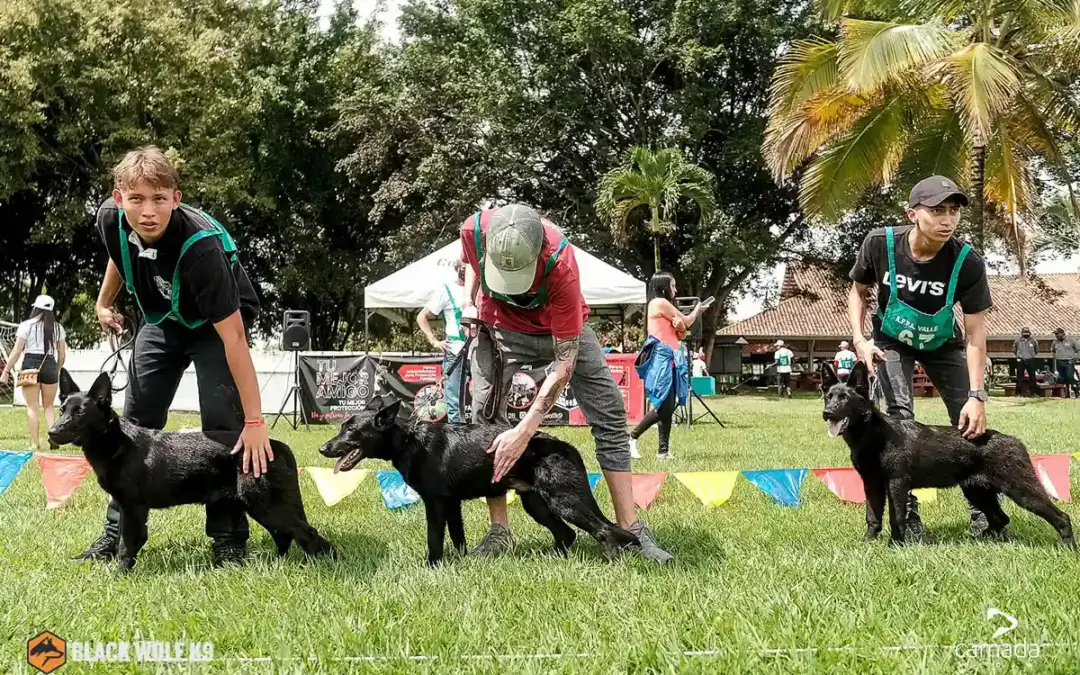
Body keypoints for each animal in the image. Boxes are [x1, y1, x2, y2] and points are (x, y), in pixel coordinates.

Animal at [49, 371, 332, 570]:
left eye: (80, 412)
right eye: (62, 410)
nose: (51, 432)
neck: (117, 442)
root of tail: (275, 445)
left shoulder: (132, 507)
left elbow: (126, 546)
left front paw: (120, 575)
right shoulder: (130, 508)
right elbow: (127, 541)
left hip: (266, 504)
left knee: (307, 534)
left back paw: (323, 564)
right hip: (261, 506)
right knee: (285, 536)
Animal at [319, 397, 639, 565]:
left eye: (351, 431)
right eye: (342, 427)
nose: (323, 448)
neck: (411, 441)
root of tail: (566, 447)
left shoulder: (435, 504)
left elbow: (434, 538)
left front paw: (432, 566)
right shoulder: (452, 505)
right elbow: (457, 538)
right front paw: (460, 563)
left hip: (564, 501)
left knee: (604, 530)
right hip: (537, 504)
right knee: (568, 534)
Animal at [825, 360, 1071, 544]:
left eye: (844, 398)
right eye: (828, 396)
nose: (826, 413)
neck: (874, 434)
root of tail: (1015, 441)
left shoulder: (896, 484)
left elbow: (897, 517)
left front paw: (895, 544)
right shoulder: (872, 484)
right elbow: (873, 516)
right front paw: (868, 542)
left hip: (1022, 491)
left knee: (1061, 518)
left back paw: (1068, 547)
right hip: (977, 492)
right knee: (1001, 519)